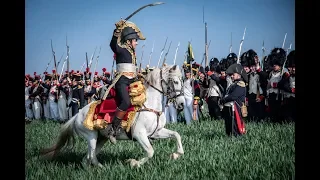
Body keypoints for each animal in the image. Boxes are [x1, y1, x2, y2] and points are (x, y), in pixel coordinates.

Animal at [40, 65, 185, 168]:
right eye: (175, 82)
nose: (182, 104)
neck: (149, 105)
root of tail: (76, 116)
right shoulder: (139, 134)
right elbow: (150, 151)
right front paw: (133, 163)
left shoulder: (156, 132)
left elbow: (176, 134)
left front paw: (176, 154)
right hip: (91, 137)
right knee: (91, 157)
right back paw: (103, 168)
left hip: (101, 139)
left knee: (86, 159)